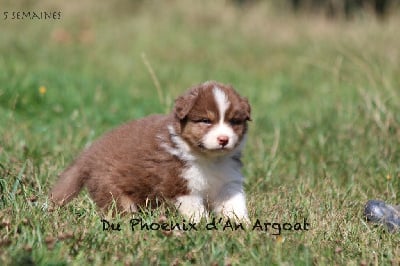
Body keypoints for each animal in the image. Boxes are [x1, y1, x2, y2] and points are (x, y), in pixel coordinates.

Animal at [49, 81, 250, 222]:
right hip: (111, 188)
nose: (223, 139)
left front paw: (242, 224)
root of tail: (89, 153)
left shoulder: (227, 180)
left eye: (234, 121)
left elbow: (234, 204)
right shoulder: (179, 184)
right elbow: (194, 209)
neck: (209, 159)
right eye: (206, 121)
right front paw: (202, 224)